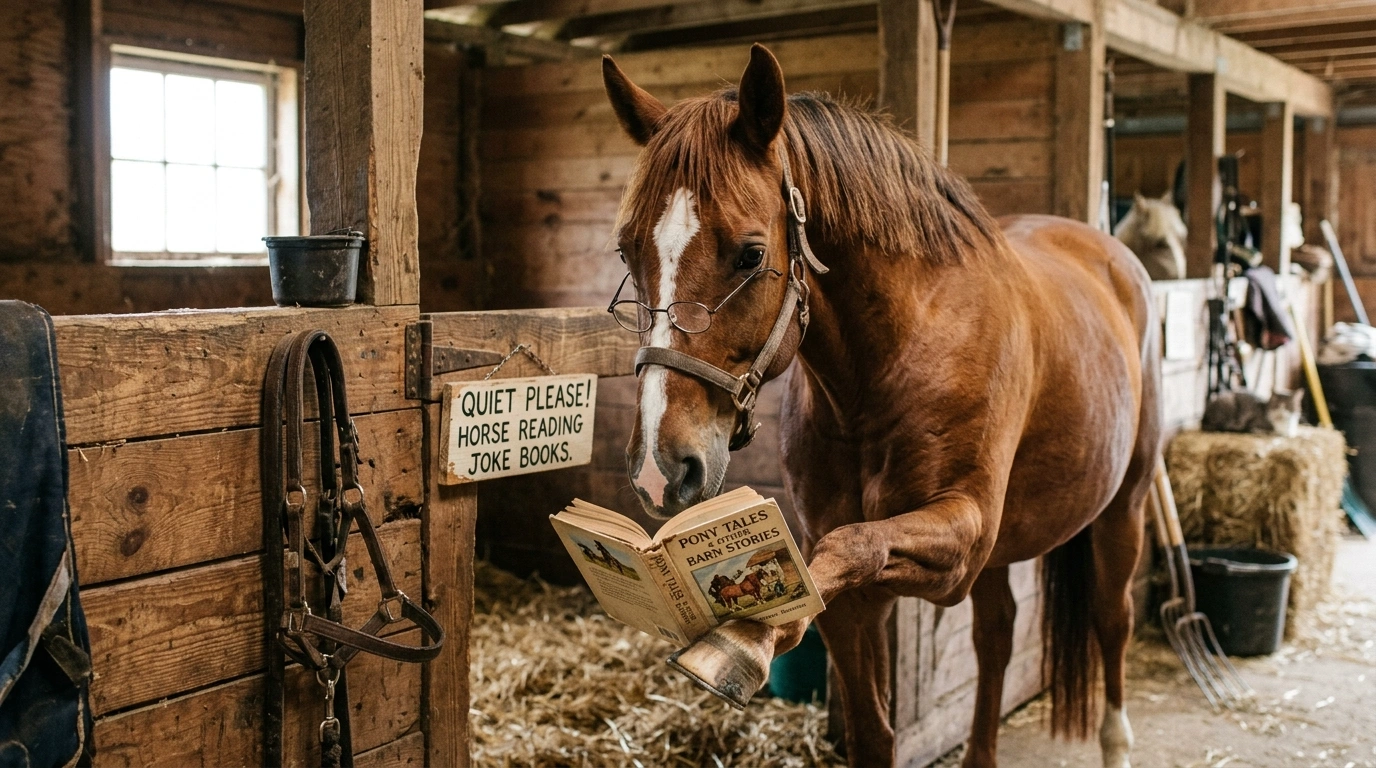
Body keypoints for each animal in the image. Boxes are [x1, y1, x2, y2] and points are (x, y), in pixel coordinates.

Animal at [602, 44, 1158, 768]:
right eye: (628, 249)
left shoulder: (959, 535)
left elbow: (850, 547)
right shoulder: (866, 583)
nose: (660, 469)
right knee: (997, 636)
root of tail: (1111, 254)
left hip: (1125, 506)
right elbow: (869, 717)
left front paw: (746, 640)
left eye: (750, 255)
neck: (890, 366)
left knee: (1112, 620)